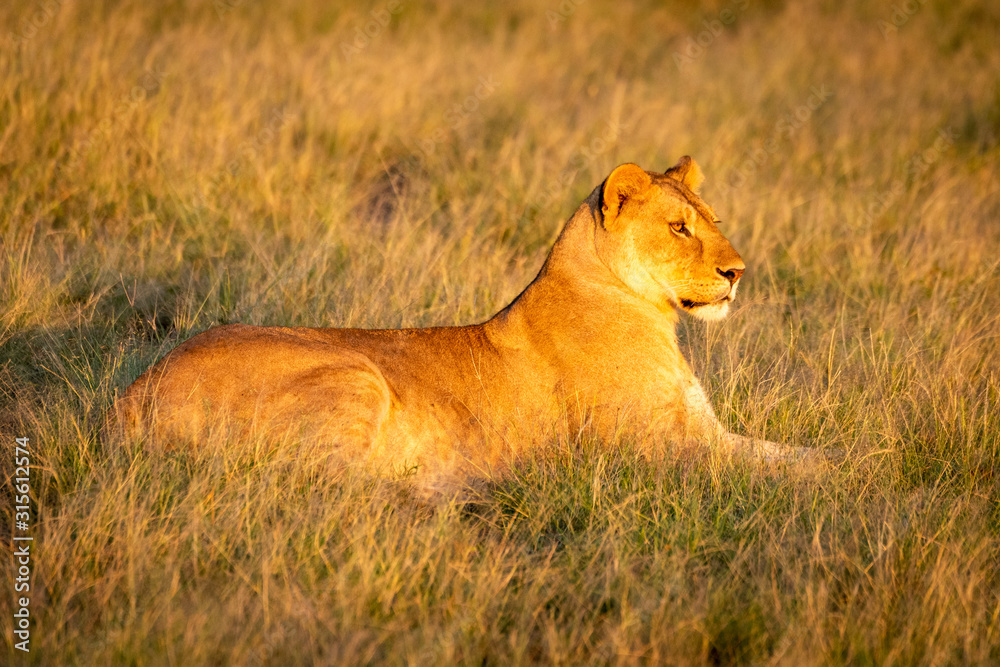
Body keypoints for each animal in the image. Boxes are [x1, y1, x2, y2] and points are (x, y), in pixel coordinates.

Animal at [115, 157, 803, 492]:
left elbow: (791, 453)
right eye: (679, 228)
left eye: (711, 219)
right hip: (355, 375)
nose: (738, 272)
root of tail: (135, 390)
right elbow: (779, 470)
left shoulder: (707, 433)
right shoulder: (660, 451)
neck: (654, 316)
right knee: (322, 488)